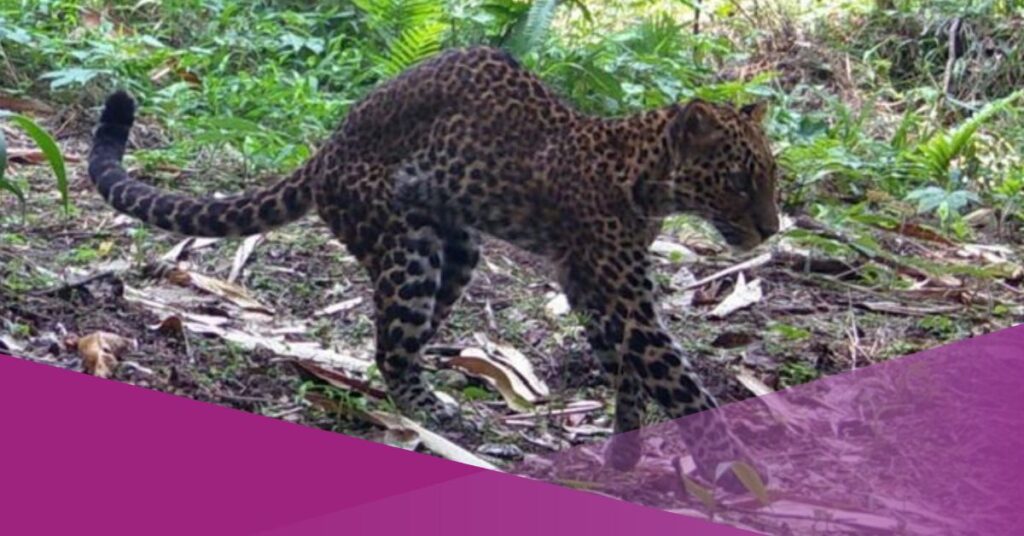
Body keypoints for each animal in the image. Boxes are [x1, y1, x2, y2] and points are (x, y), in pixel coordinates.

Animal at [88, 46, 780, 486]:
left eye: (770, 176)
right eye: (739, 181)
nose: (772, 229)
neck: (647, 175)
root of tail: (328, 148)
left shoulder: (594, 286)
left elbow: (626, 372)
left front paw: (624, 454)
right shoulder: (622, 295)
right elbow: (682, 385)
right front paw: (740, 472)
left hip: (458, 250)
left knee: (405, 340)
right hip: (407, 247)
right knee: (389, 347)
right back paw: (432, 416)